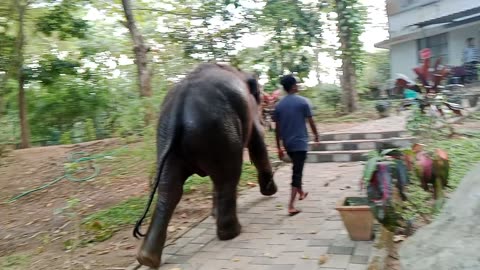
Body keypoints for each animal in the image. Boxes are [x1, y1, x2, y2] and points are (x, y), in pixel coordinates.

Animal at [134, 63, 278, 268]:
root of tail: (178, 106)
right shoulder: (250, 112)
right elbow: (258, 143)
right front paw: (270, 192)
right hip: (220, 130)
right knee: (228, 178)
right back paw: (231, 232)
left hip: (167, 140)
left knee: (169, 189)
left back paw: (147, 258)